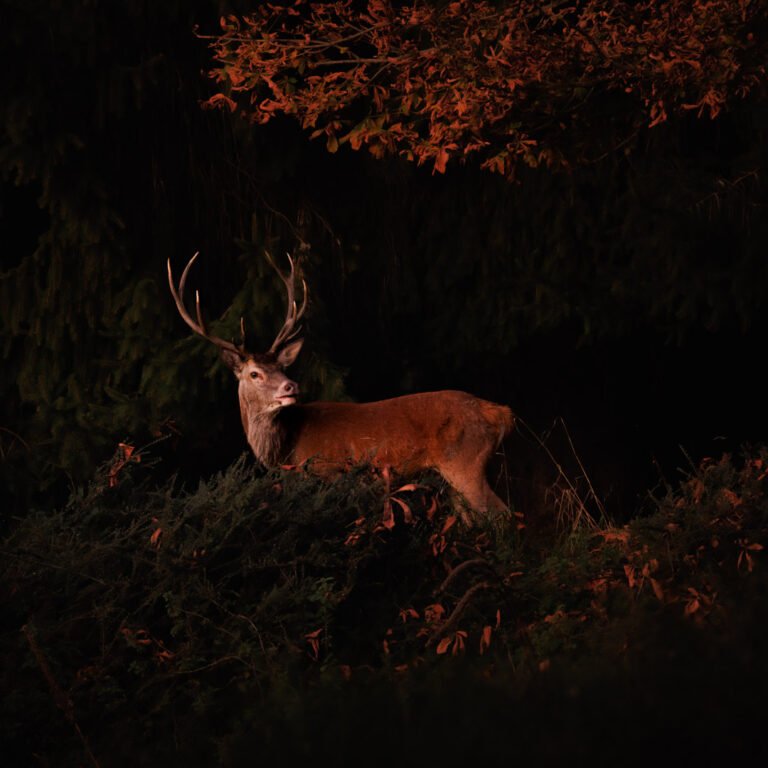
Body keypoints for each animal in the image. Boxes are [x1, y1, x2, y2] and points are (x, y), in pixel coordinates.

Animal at [167, 252, 515, 524]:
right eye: (255, 373)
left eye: (282, 368)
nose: (291, 386)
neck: (286, 448)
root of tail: (499, 412)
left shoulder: (329, 472)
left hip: (466, 462)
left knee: (503, 516)